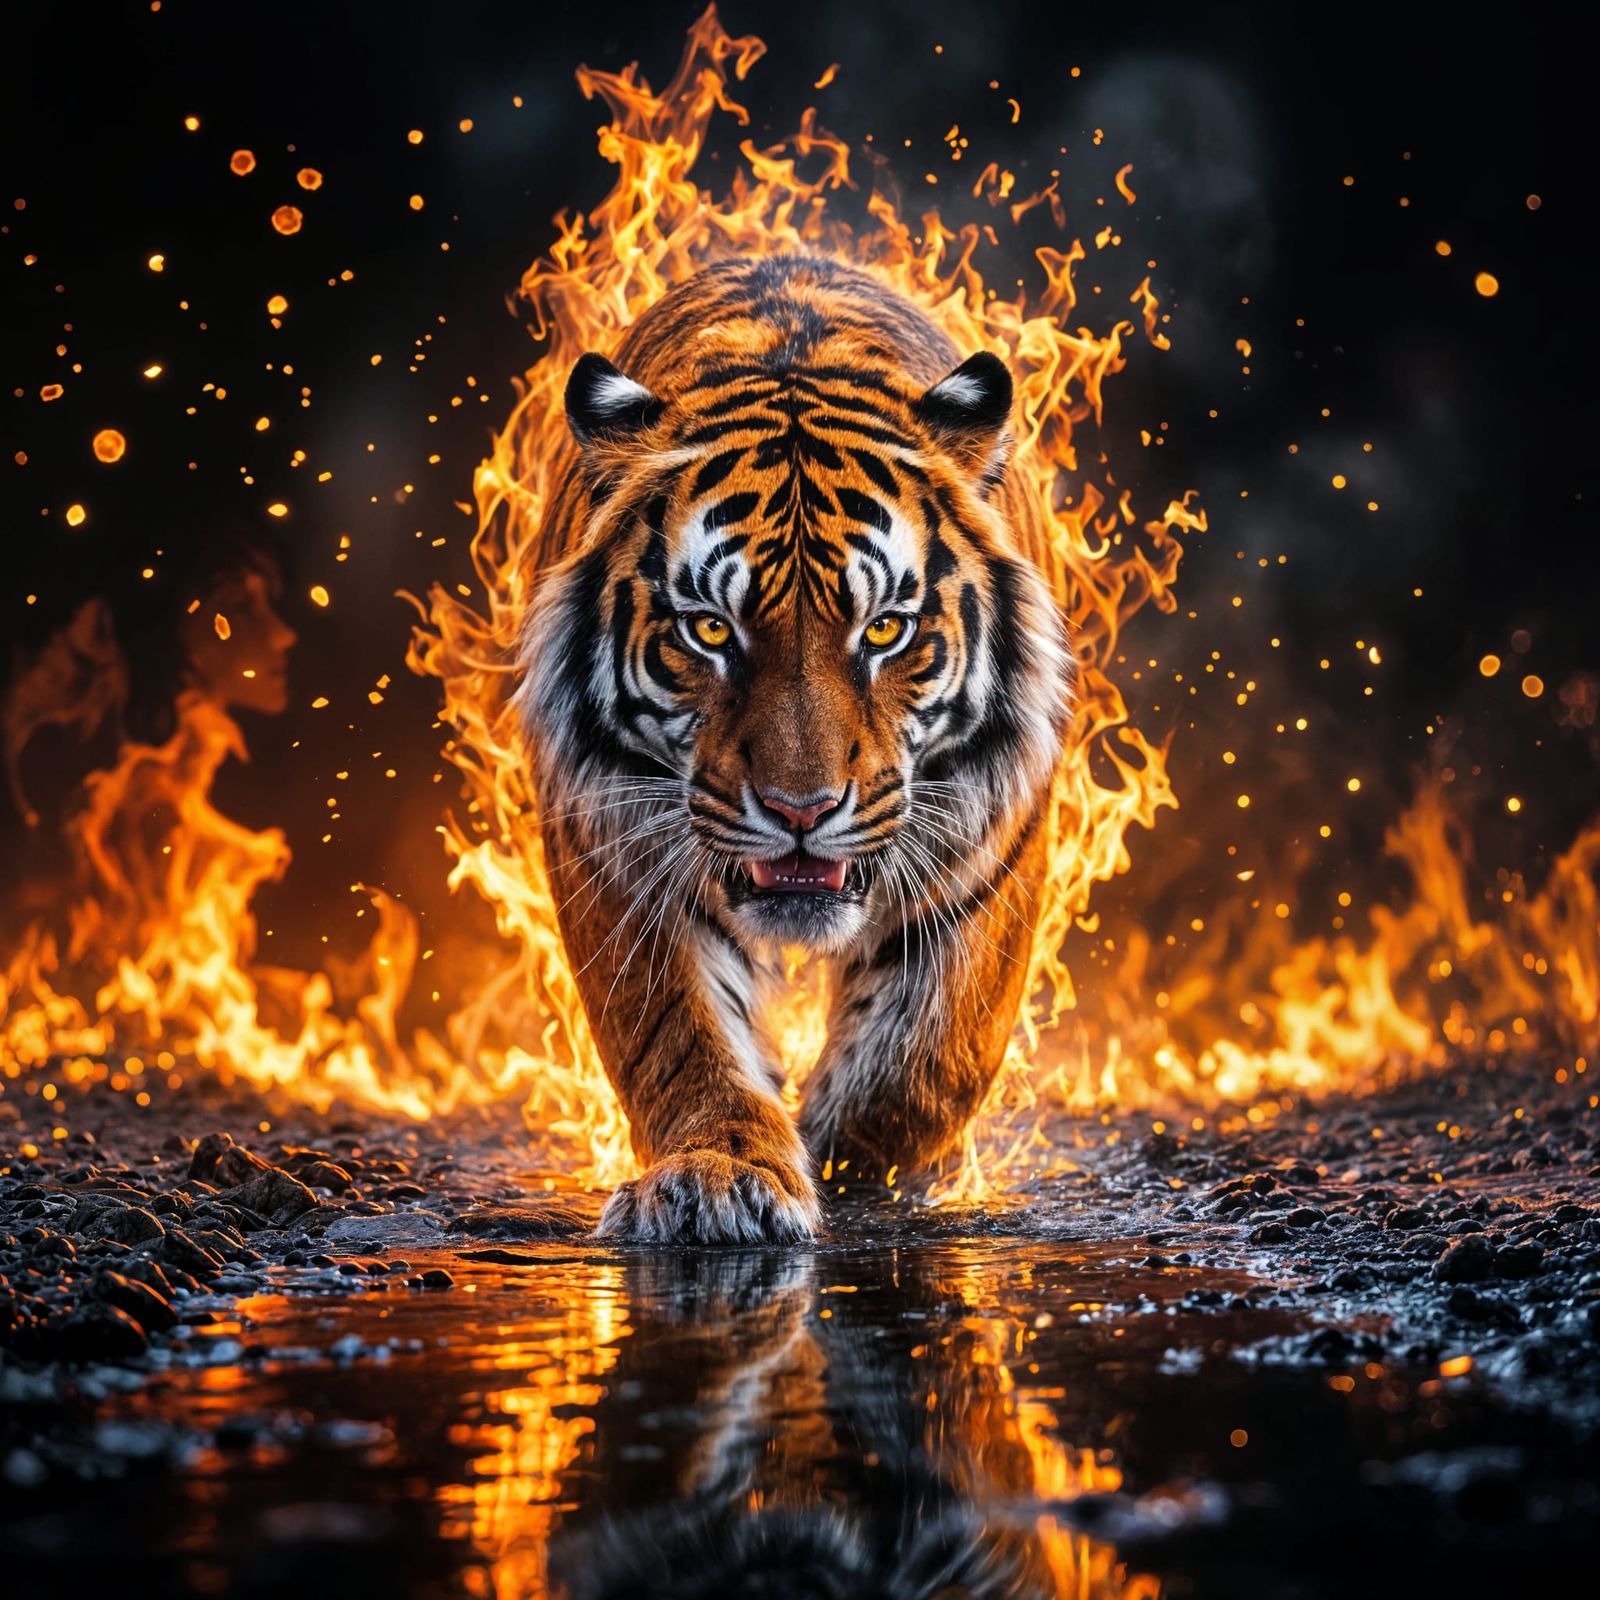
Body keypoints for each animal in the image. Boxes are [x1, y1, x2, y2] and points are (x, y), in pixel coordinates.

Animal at [518, 255, 1073, 1243]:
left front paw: (854, 1169)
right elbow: (680, 1035)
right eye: (709, 628)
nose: (800, 811)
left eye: (885, 628)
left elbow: (925, 1060)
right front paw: (721, 1179)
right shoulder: (612, 850)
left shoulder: (990, 847)